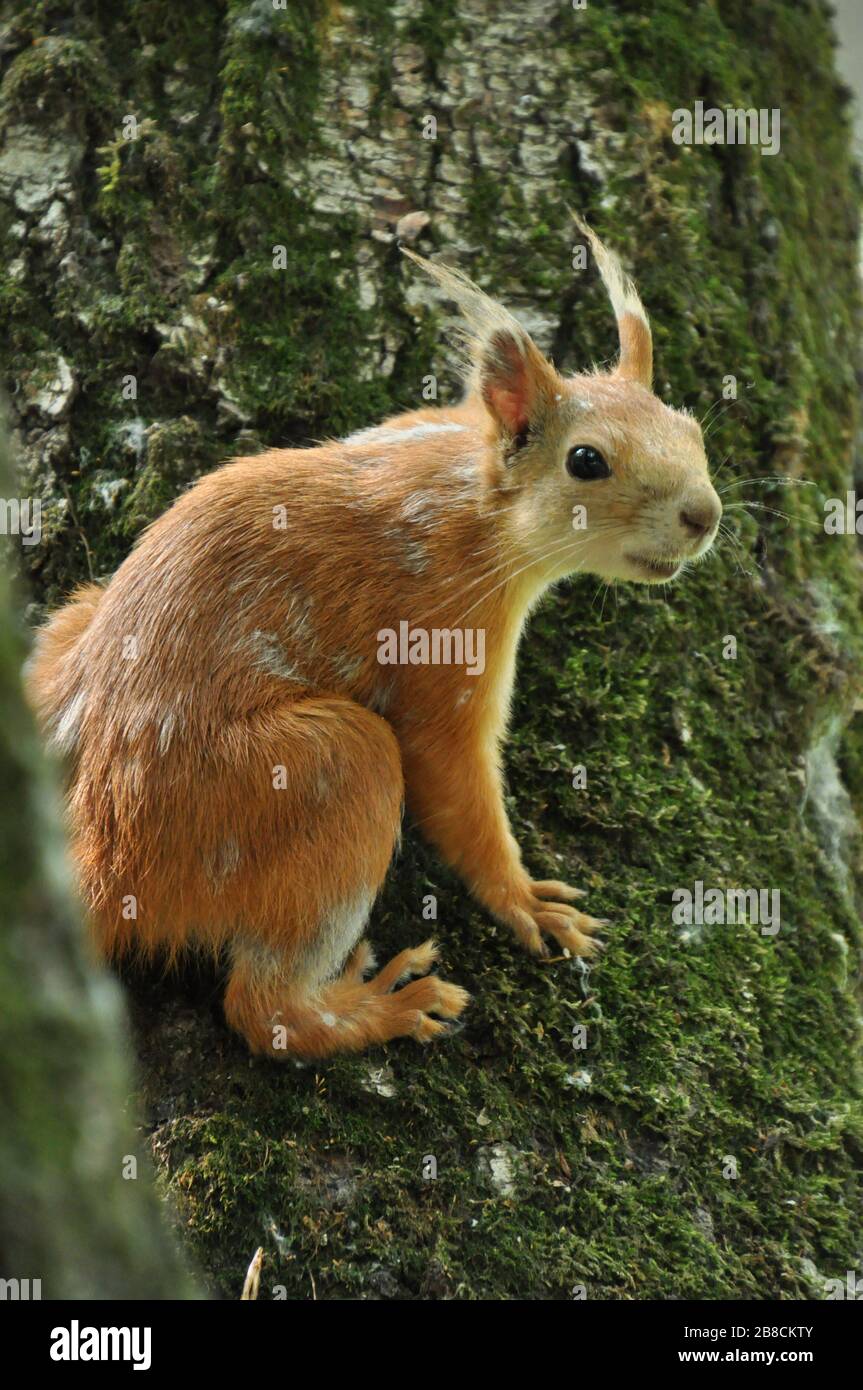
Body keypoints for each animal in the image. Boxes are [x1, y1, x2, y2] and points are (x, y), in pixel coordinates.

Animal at [25, 219, 722, 1061]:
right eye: (585, 461)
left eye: (690, 428)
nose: (704, 516)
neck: (471, 494)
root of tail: (104, 861)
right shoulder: (443, 639)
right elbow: (455, 783)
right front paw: (523, 898)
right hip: (322, 772)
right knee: (265, 1009)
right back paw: (384, 1004)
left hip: (72, 627)